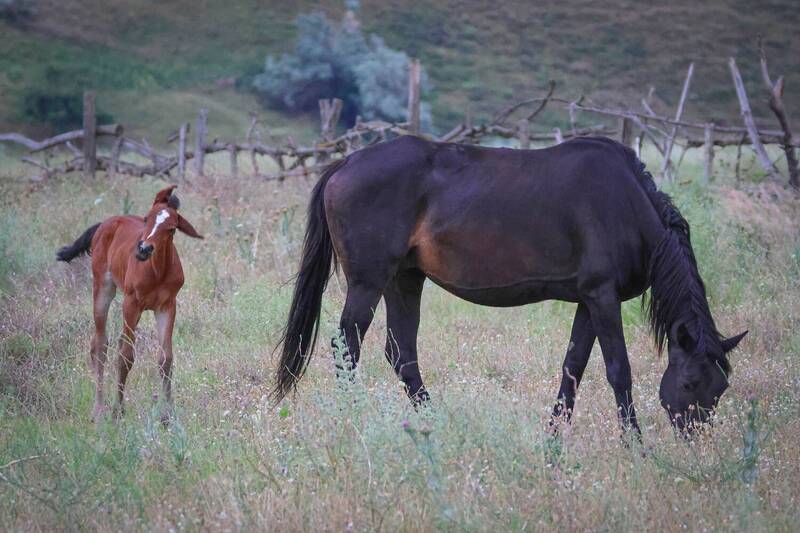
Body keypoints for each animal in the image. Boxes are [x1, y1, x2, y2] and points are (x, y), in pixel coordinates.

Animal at [57, 185, 203, 423]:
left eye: (172, 229)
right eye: (146, 218)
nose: (143, 249)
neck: (157, 271)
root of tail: (105, 223)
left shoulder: (167, 306)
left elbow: (166, 359)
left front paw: (168, 415)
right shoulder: (131, 303)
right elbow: (126, 356)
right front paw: (118, 410)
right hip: (103, 288)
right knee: (99, 344)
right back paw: (98, 410)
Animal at [273, 135, 748, 434]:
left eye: (720, 388)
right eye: (688, 384)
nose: (693, 436)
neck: (628, 206)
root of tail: (346, 162)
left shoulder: (588, 301)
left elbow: (573, 368)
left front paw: (553, 440)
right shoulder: (602, 297)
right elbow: (619, 371)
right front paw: (635, 445)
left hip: (405, 279)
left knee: (401, 353)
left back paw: (436, 423)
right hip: (368, 282)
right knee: (347, 348)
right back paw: (350, 420)